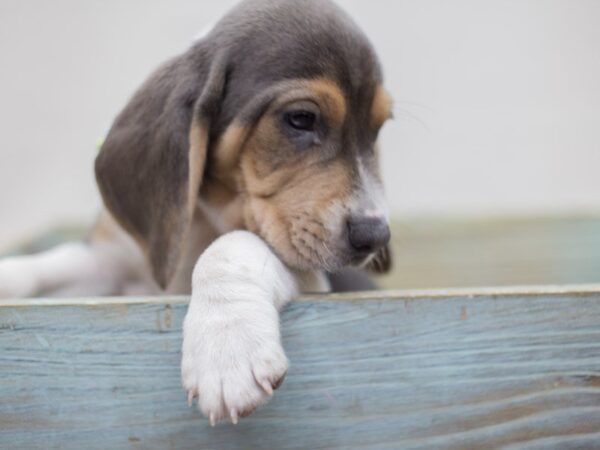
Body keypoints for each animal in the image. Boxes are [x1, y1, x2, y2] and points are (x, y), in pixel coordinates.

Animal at [0, 0, 394, 426]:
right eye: (301, 119)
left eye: (376, 132)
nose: (375, 235)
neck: (204, 218)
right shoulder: (114, 263)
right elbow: (55, 262)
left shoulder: (315, 276)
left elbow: (235, 244)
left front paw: (227, 347)